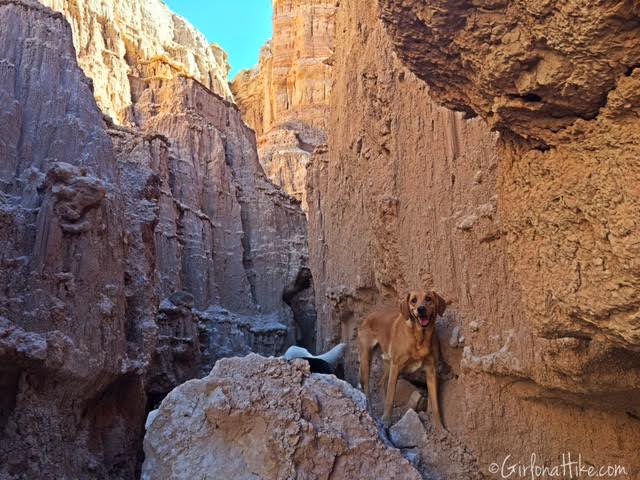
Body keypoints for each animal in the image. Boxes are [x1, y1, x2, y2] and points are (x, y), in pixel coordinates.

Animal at [358, 288, 448, 428]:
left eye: (428, 298)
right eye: (413, 301)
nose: (421, 309)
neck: (419, 338)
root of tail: (368, 317)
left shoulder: (431, 371)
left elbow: (435, 404)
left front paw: (439, 427)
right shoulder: (396, 367)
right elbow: (390, 396)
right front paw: (386, 420)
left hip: (388, 363)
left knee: (380, 383)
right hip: (367, 359)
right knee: (367, 387)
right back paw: (371, 412)